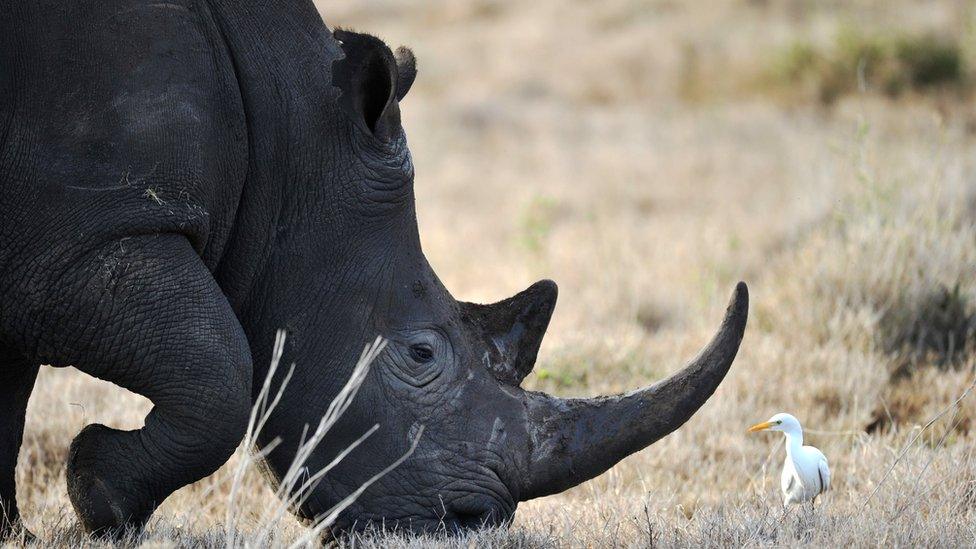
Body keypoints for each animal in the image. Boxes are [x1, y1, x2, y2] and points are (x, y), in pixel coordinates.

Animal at [0, 0, 748, 536]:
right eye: (421, 354)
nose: (475, 523)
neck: (285, 142)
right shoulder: (92, 230)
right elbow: (219, 371)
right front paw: (98, 495)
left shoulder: (43, 241)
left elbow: (9, 398)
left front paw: (20, 533)